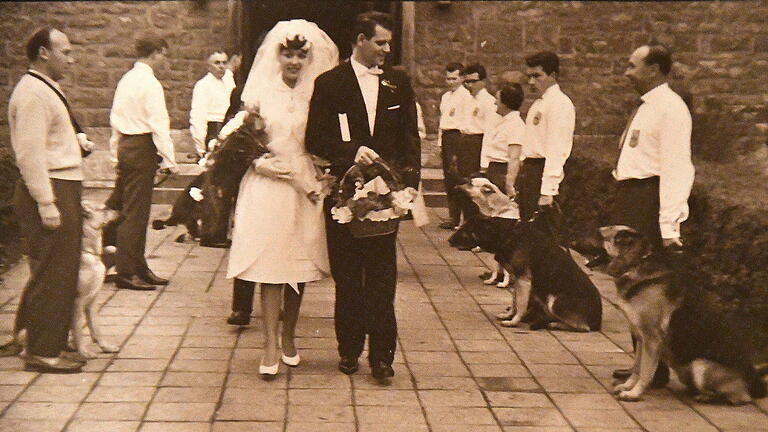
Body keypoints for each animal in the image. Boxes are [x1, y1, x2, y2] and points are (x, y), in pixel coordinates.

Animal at [604, 224, 764, 404]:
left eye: (601, 235)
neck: (637, 264)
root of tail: (754, 381)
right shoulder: (640, 338)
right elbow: (637, 368)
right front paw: (628, 386)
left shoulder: (651, 340)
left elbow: (645, 371)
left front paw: (634, 394)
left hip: (700, 365)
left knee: (740, 398)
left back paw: (706, 397)